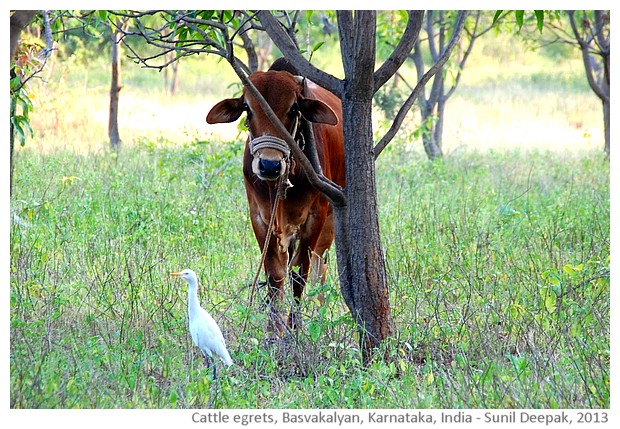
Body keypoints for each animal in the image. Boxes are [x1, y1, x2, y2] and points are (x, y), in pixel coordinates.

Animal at [207, 57, 344, 332]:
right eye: (247, 108)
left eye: (294, 108)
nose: (269, 165)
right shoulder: (260, 217)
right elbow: (275, 274)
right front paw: (274, 329)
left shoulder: (315, 217)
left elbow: (299, 273)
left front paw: (294, 328)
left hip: (330, 222)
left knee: (319, 267)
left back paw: (321, 316)